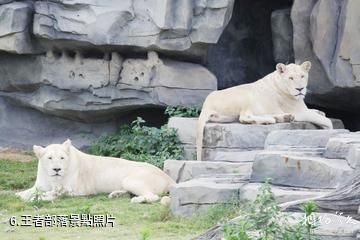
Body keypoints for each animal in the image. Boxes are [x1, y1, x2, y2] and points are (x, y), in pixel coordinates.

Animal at [16, 140, 175, 203]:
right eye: (49, 158)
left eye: (62, 158)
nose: (57, 169)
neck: (52, 178)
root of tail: (168, 178)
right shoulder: (41, 184)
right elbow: (27, 192)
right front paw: (21, 195)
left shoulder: (74, 190)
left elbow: (53, 193)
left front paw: (41, 197)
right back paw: (116, 194)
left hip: (131, 179)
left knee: (154, 196)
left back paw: (136, 200)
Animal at [195, 61, 334, 160]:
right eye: (290, 78)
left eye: (302, 76)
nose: (300, 89)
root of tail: (206, 104)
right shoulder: (299, 112)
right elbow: (326, 120)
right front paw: (330, 130)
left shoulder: (302, 109)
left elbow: (318, 112)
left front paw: (320, 112)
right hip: (246, 95)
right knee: (244, 117)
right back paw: (272, 119)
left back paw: (282, 117)